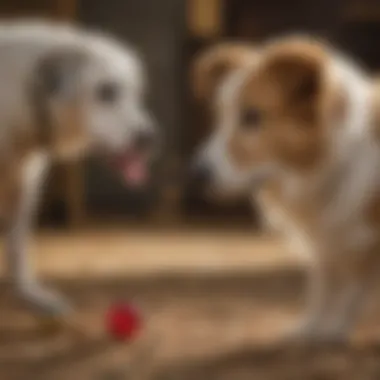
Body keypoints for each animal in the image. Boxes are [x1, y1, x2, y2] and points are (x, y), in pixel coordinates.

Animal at [0, 20, 159, 318]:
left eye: (137, 94)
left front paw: (32, 297)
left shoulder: (25, 183)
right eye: (106, 92)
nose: (151, 139)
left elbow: (17, 248)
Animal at [191, 37, 380, 342]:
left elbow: (352, 288)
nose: (196, 174)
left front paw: (334, 329)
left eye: (252, 116)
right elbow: (324, 286)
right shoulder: (330, 237)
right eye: (219, 117)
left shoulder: (360, 240)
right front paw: (313, 328)